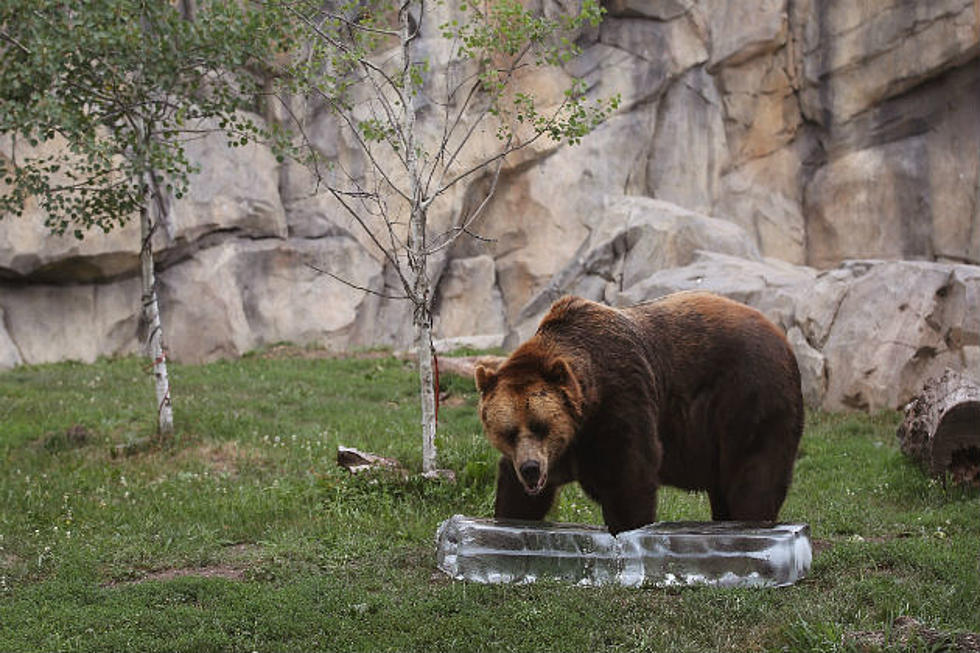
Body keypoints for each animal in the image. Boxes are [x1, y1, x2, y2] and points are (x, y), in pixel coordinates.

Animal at [474, 292, 804, 536]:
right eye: (508, 432)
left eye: (541, 426)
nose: (531, 468)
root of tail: (782, 338)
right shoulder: (563, 448)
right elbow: (516, 492)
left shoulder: (621, 399)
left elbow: (630, 474)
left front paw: (627, 530)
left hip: (748, 396)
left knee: (754, 474)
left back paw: (750, 522)